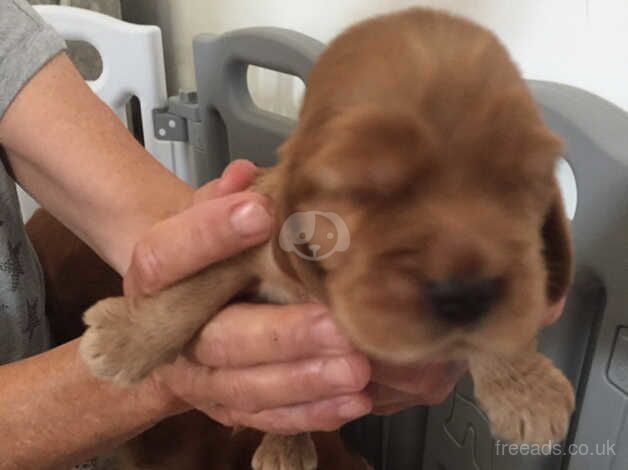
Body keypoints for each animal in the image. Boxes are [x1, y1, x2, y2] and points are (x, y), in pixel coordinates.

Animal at [78, 8, 576, 470]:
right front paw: (125, 340)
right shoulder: (248, 232)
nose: (466, 293)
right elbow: (192, 292)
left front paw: (526, 389)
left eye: (522, 182)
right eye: (364, 188)